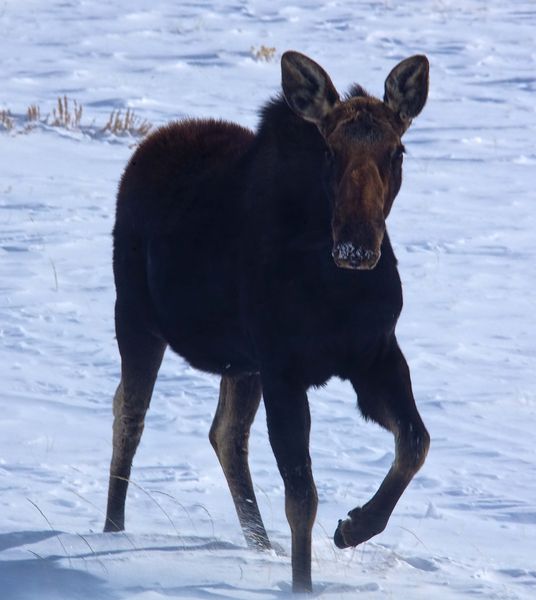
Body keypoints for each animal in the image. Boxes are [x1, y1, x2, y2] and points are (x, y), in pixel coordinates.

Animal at [104, 50, 432, 592]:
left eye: (398, 150)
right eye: (328, 151)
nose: (357, 244)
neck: (337, 290)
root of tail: (148, 146)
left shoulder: (375, 354)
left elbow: (415, 443)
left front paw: (354, 527)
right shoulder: (283, 367)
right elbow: (302, 497)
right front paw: (303, 584)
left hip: (240, 363)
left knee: (225, 434)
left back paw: (260, 545)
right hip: (135, 316)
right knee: (130, 415)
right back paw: (112, 530)